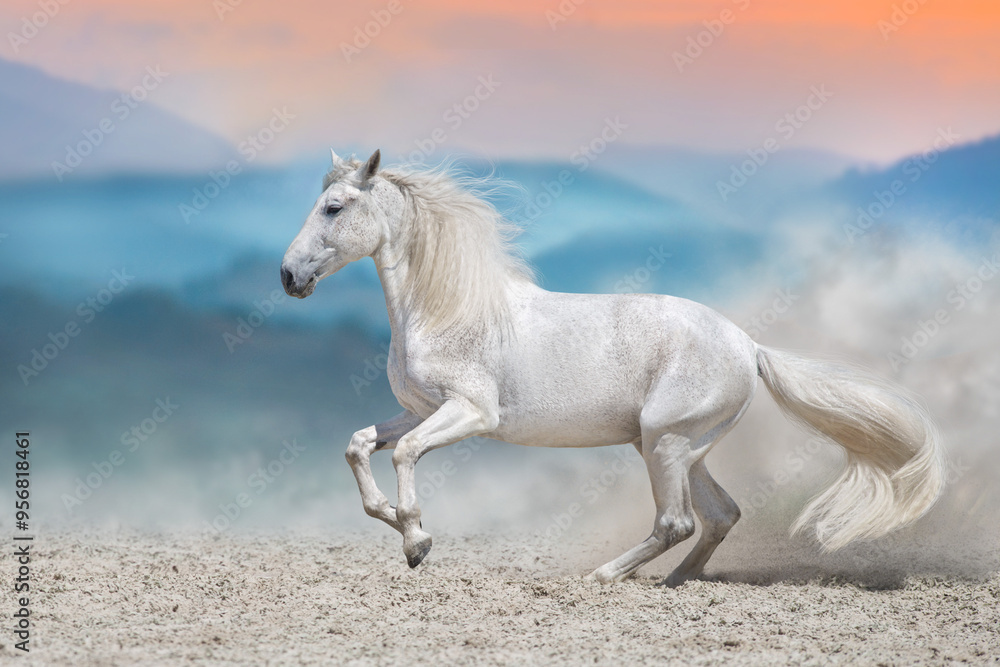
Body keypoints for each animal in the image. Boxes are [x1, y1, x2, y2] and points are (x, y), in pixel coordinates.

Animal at [280, 149, 944, 584]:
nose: (289, 277)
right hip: (678, 446)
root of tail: (748, 346)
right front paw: (395, 523)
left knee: (677, 521)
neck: (446, 309)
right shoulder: (419, 410)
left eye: (333, 207)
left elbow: (406, 455)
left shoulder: (470, 413)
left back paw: (603, 576)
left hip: (665, 442)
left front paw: (417, 541)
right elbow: (360, 445)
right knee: (720, 515)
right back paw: (676, 584)